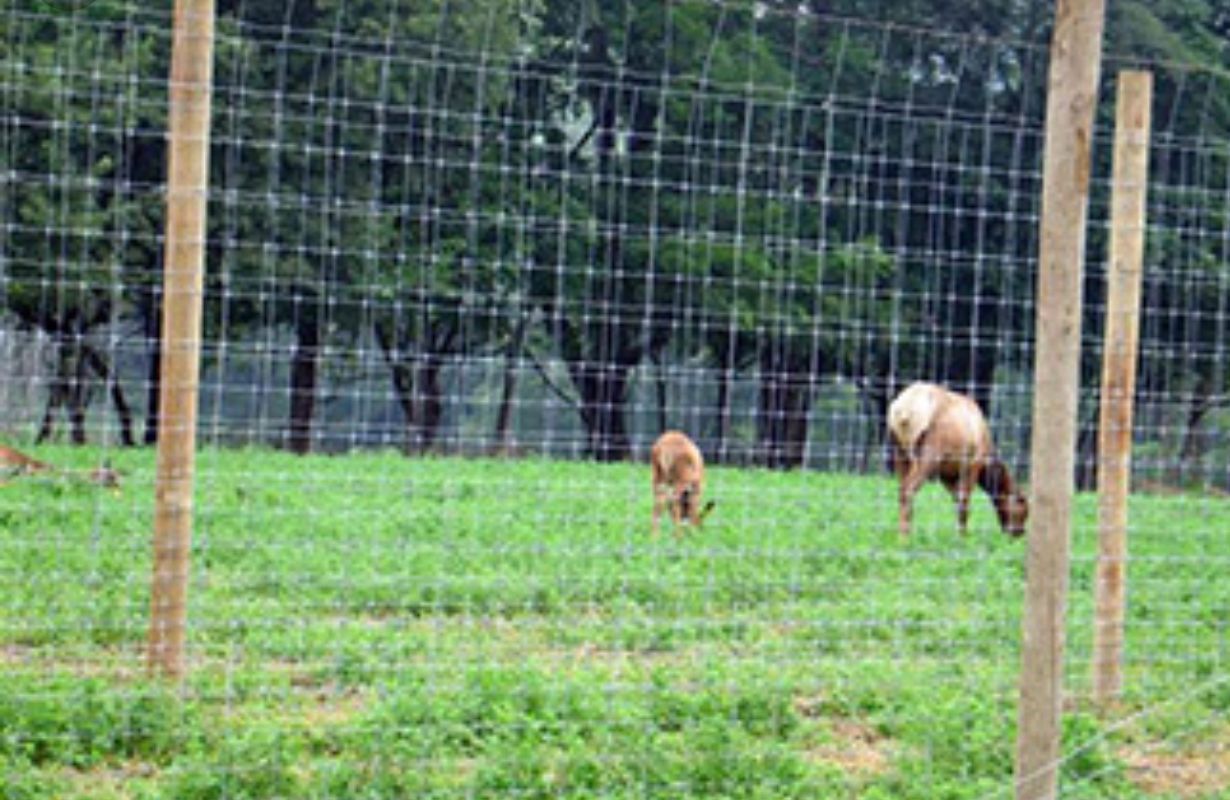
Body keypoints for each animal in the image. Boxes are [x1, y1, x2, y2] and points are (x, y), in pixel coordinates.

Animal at [887, 382, 1027, 540]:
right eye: (1024, 510)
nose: (1019, 533)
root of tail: (903, 409)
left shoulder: (947, 474)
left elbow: (956, 500)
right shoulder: (973, 464)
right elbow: (964, 501)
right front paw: (963, 536)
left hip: (898, 451)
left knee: (901, 489)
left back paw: (902, 533)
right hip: (929, 453)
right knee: (908, 489)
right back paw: (904, 536)